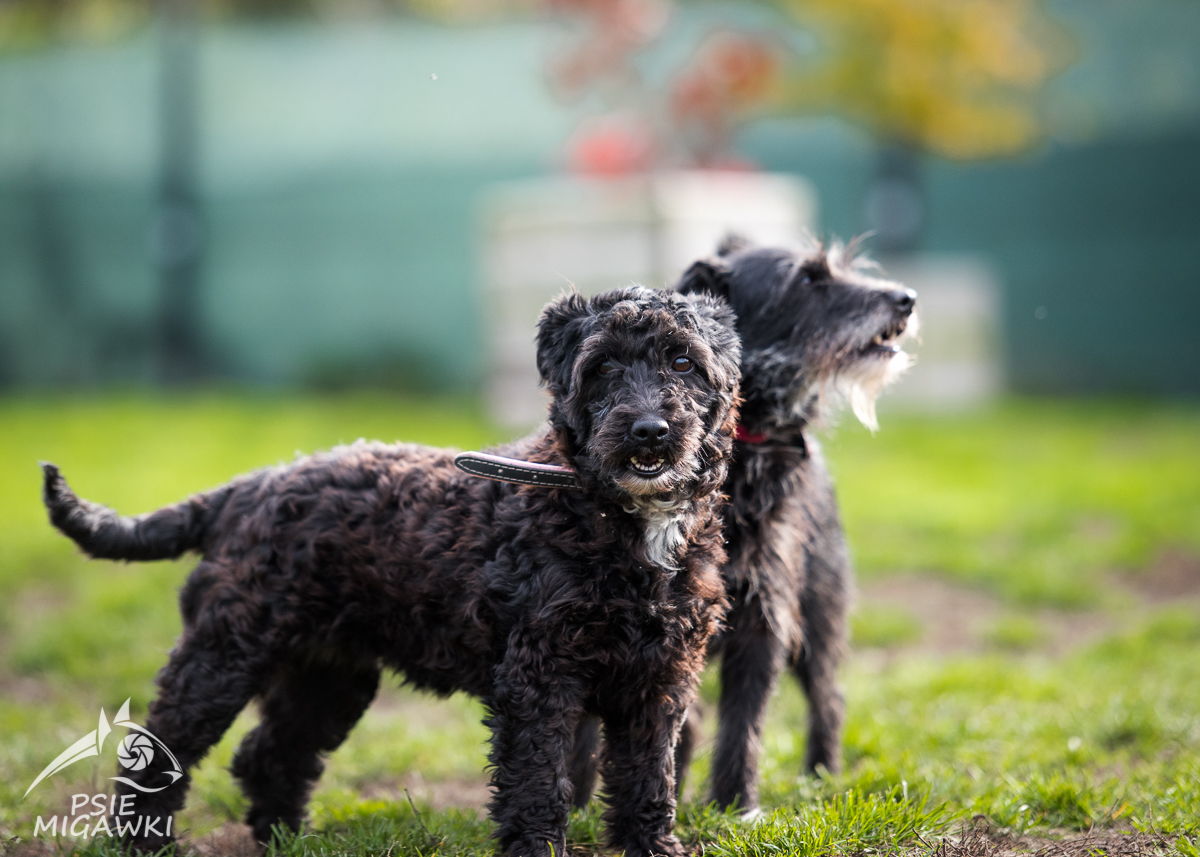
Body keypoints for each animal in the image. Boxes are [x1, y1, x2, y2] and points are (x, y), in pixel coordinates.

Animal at [40, 285, 742, 857]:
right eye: (601, 368)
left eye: (683, 362)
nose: (649, 431)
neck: (609, 515)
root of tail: (248, 487)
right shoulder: (538, 679)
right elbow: (538, 780)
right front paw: (538, 848)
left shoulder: (659, 680)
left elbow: (649, 777)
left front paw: (654, 847)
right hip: (222, 654)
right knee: (161, 749)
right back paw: (144, 843)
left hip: (327, 676)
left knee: (269, 756)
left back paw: (288, 839)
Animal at [569, 237, 917, 813]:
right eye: (807, 279)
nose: (905, 297)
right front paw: (581, 801)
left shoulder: (764, 610)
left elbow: (743, 719)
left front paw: (736, 803)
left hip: (818, 617)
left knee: (829, 697)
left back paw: (821, 773)